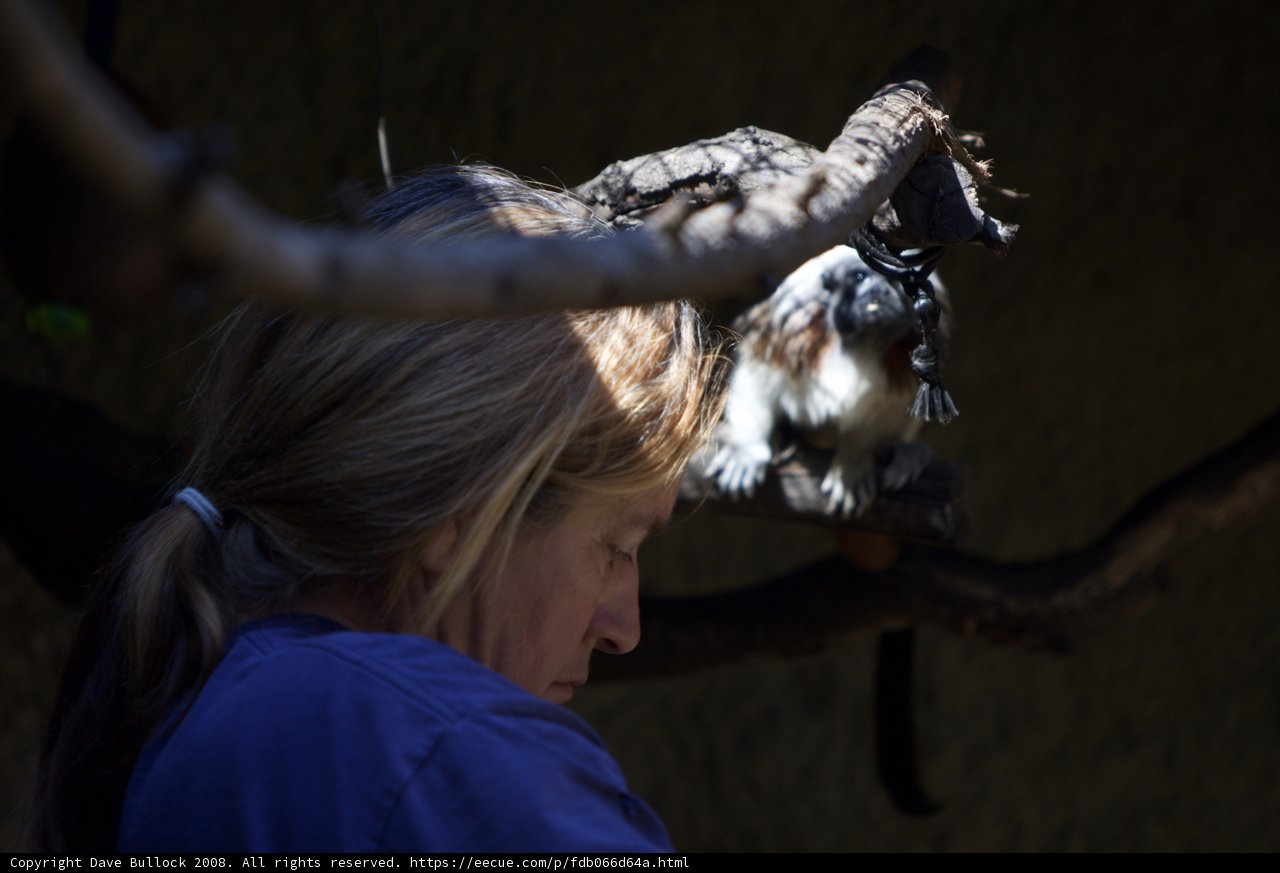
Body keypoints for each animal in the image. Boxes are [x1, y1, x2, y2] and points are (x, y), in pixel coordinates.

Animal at [700, 244, 947, 516]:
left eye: (894, 284)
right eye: (861, 277)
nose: (878, 292)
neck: (859, 341)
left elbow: (882, 406)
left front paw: (853, 461)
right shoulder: (792, 327)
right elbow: (757, 373)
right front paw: (745, 449)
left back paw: (907, 454)